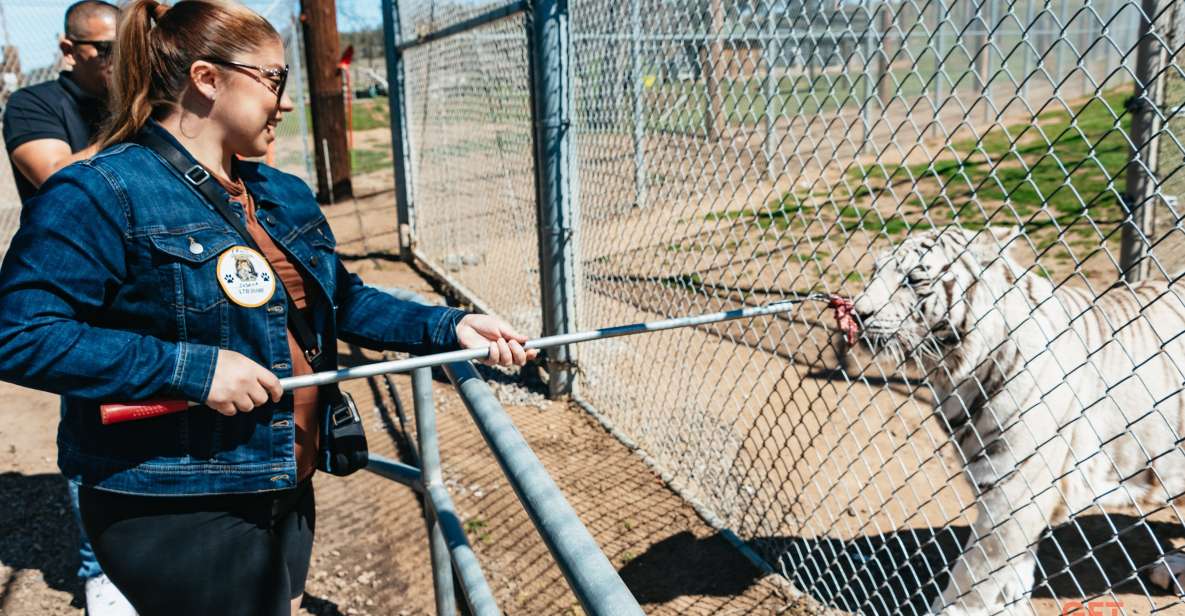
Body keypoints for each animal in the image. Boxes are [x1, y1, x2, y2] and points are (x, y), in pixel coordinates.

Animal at [853, 227, 1185, 616]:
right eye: (874, 271)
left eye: (912, 279)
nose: (857, 313)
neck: (952, 371)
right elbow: (1012, 570)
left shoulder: (1015, 487)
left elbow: (976, 571)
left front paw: (954, 609)